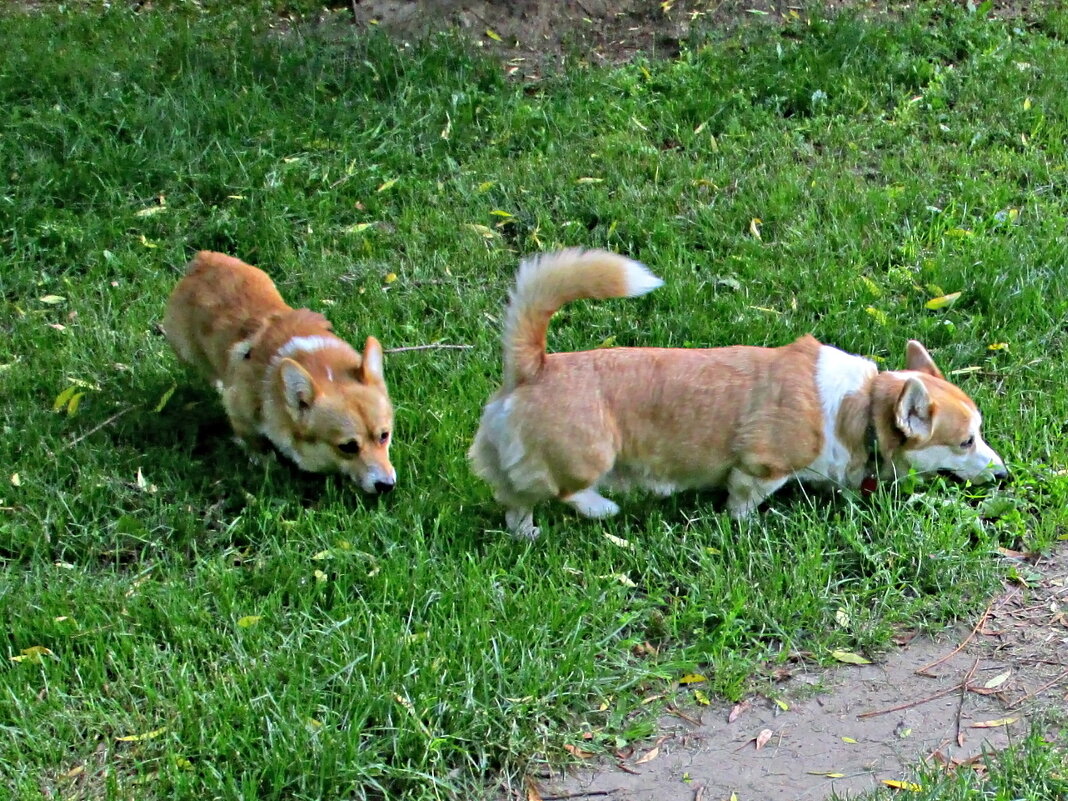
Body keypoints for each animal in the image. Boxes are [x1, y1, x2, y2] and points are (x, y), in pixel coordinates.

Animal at [164, 250, 399, 493]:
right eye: (348, 447)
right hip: (187, 351)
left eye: (384, 436)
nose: (386, 485)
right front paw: (264, 460)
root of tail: (204, 259)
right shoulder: (238, 408)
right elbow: (252, 440)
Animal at [469, 250, 1008, 540]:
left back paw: (527, 532)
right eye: (965, 442)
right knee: (565, 489)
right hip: (590, 455)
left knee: (515, 501)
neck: (862, 408)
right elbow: (744, 500)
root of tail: (534, 366)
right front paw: (745, 526)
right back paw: (603, 508)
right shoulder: (760, 468)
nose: (1004, 473)